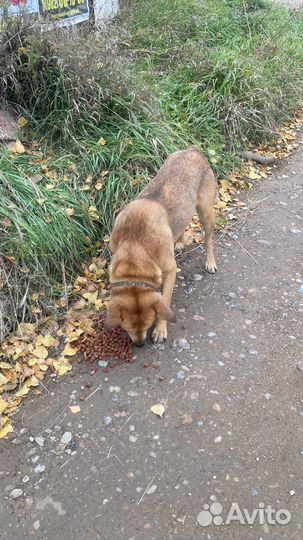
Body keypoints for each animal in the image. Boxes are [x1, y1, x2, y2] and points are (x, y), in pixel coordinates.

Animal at [105, 144, 217, 346]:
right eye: (128, 328)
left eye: (147, 324)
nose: (140, 345)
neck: (135, 247)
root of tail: (193, 150)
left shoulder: (171, 271)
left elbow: (164, 300)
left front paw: (160, 329)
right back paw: (179, 242)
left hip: (206, 214)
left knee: (208, 240)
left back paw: (210, 262)